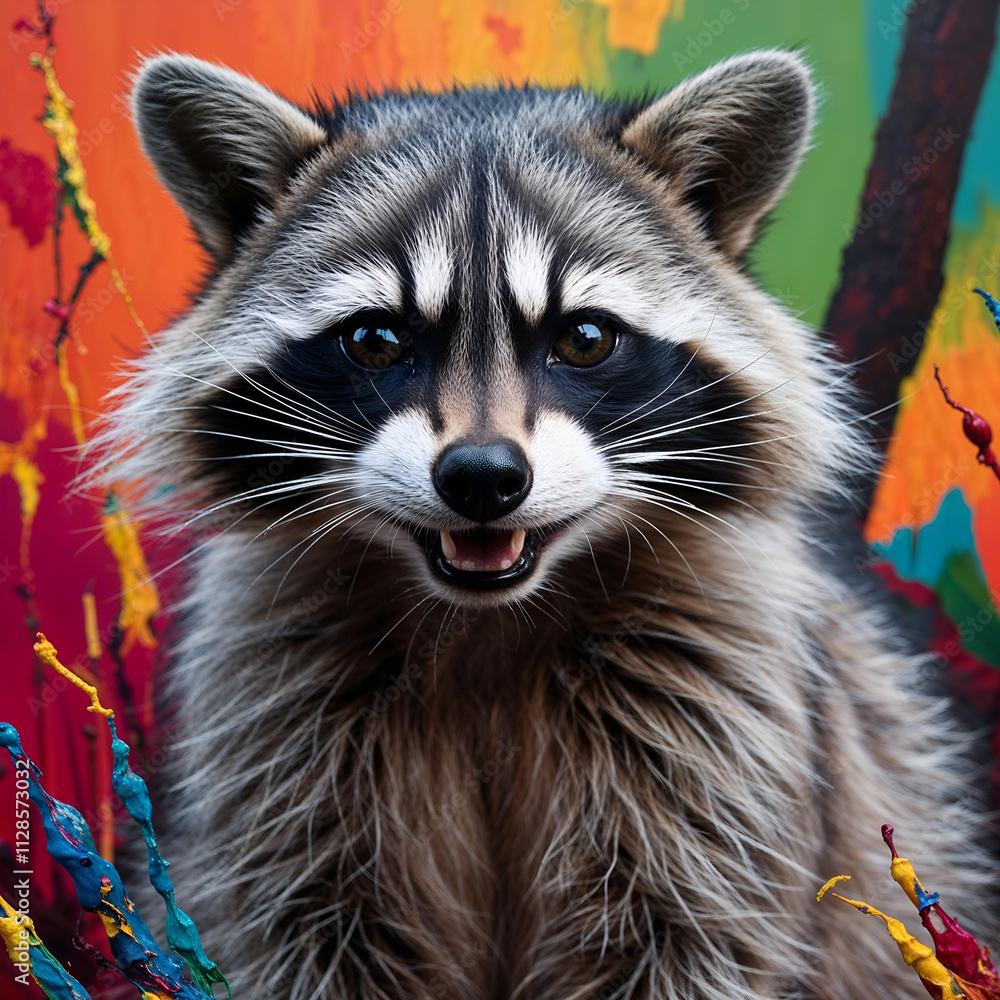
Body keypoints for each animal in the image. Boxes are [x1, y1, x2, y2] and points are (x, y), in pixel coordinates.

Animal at [96, 49, 994, 999]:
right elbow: (302, 931)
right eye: (375, 340)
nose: (483, 478)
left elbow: (688, 935)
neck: (485, 624)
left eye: (586, 338)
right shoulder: (279, 730)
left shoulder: (718, 724)